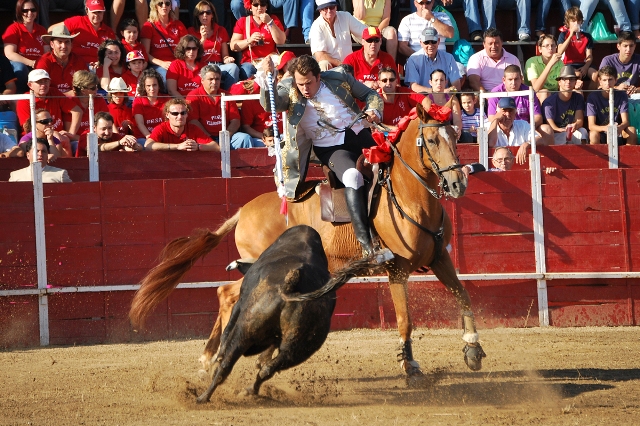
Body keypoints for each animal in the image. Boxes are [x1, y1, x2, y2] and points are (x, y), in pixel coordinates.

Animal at [132, 104, 488, 382]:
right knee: (228, 293)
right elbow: (405, 319)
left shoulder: (441, 258)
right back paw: (214, 357)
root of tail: (243, 210)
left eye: (454, 135)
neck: (408, 197)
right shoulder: (397, 269)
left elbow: (465, 297)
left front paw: (472, 349)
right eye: (431, 140)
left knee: (226, 293)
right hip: (261, 269)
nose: (458, 183)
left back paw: (211, 357)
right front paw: (410, 365)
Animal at [195, 223, 376, 402]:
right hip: (300, 347)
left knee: (227, 364)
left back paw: (203, 396)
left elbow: (226, 335)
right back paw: (249, 390)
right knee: (268, 369)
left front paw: (216, 359)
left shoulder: (240, 304)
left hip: (245, 331)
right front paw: (260, 360)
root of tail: (289, 288)